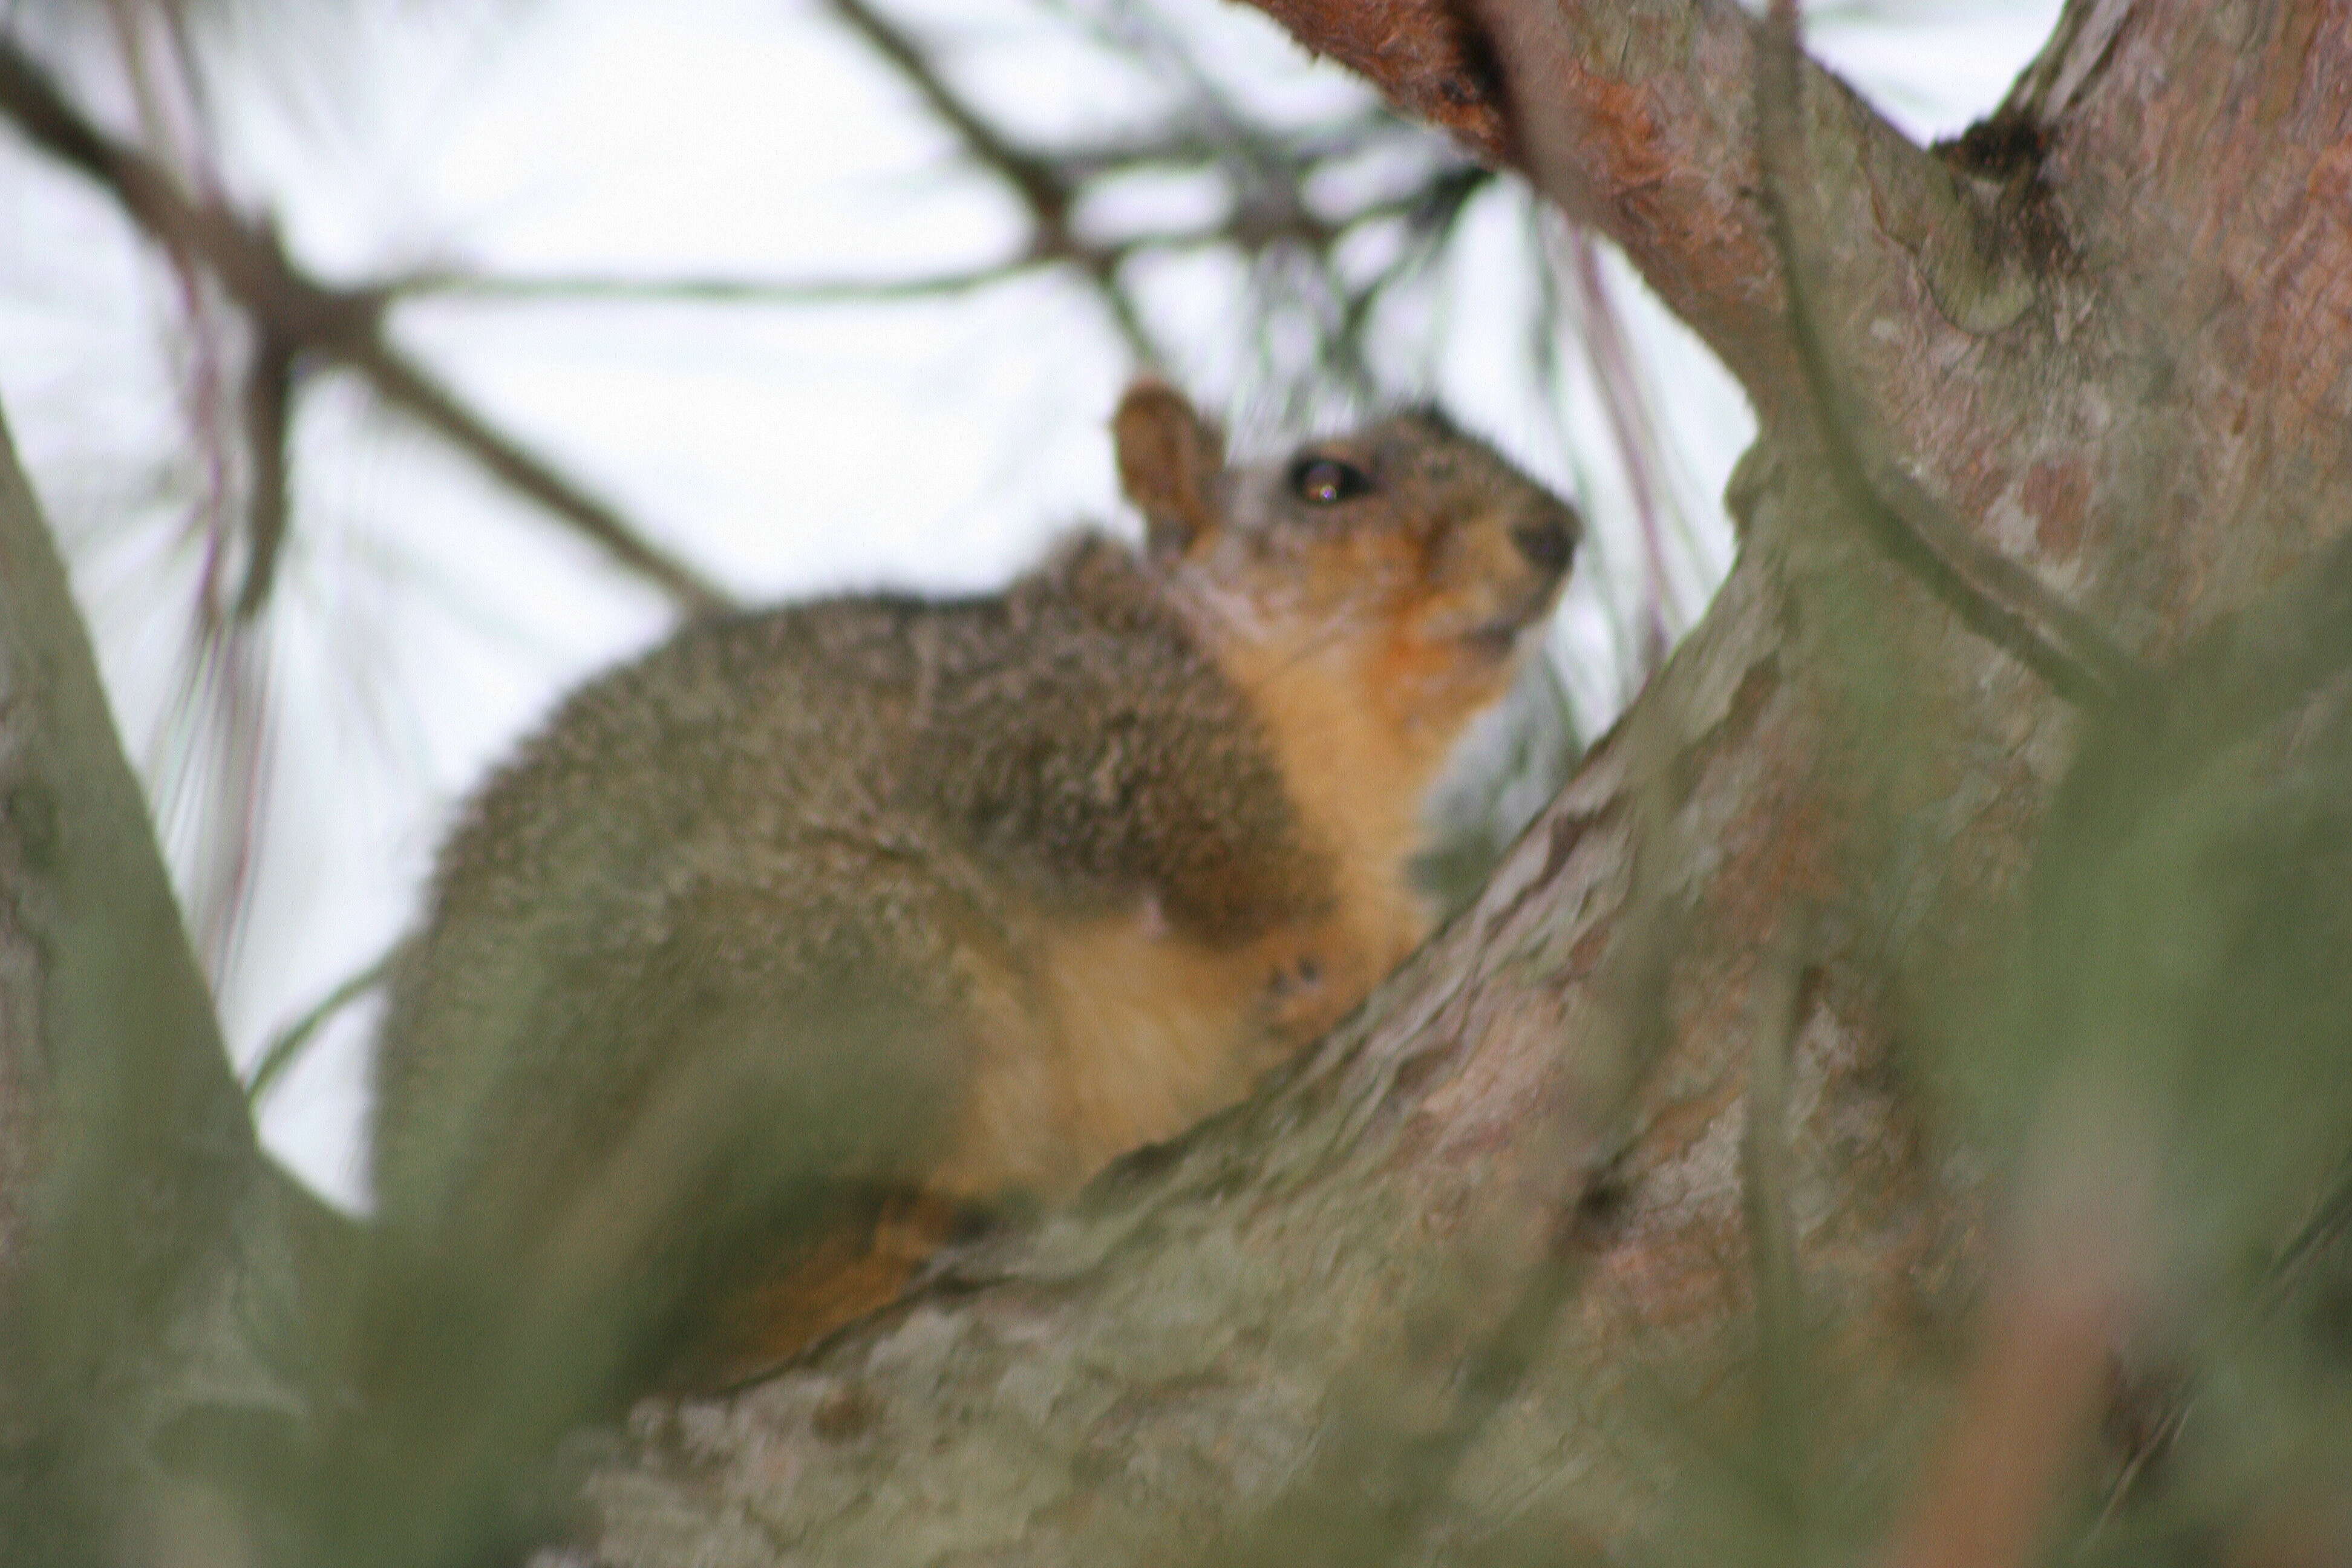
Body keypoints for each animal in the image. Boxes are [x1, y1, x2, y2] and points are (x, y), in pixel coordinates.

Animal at [336, 376, 1580, 1561]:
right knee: (678, 1310)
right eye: (1328, 483)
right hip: (847, 983)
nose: (1556, 531)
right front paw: (1354, 933)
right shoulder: (1070, 729)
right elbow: (1221, 844)